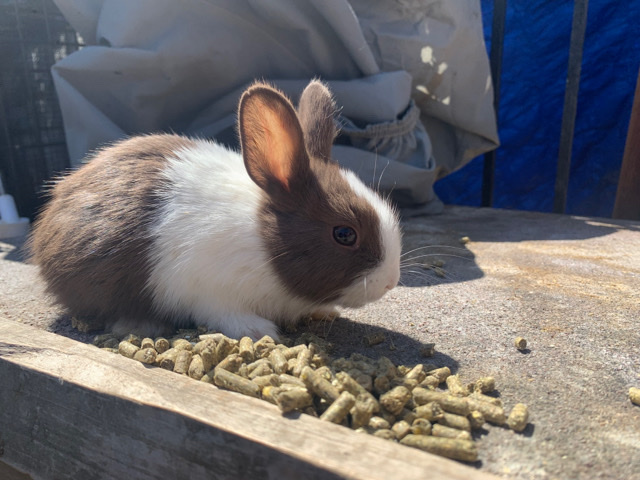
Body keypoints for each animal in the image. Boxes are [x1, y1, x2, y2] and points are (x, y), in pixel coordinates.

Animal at [28, 80, 402, 340]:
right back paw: (141, 325)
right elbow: (224, 315)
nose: (390, 282)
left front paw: (326, 313)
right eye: (345, 234)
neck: (262, 242)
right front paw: (258, 331)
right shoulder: (209, 292)